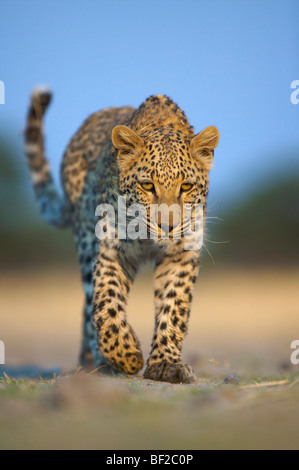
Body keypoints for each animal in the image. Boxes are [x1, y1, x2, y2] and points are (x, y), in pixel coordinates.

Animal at [24, 86, 220, 384]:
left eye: (186, 186)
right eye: (147, 185)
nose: (168, 226)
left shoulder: (181, 254)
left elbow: (173, 306)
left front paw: (166, 364)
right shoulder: (111, 251)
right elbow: (106, 303)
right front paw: (126, 356)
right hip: (85, 243)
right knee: (89, 303)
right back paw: (98, 362)